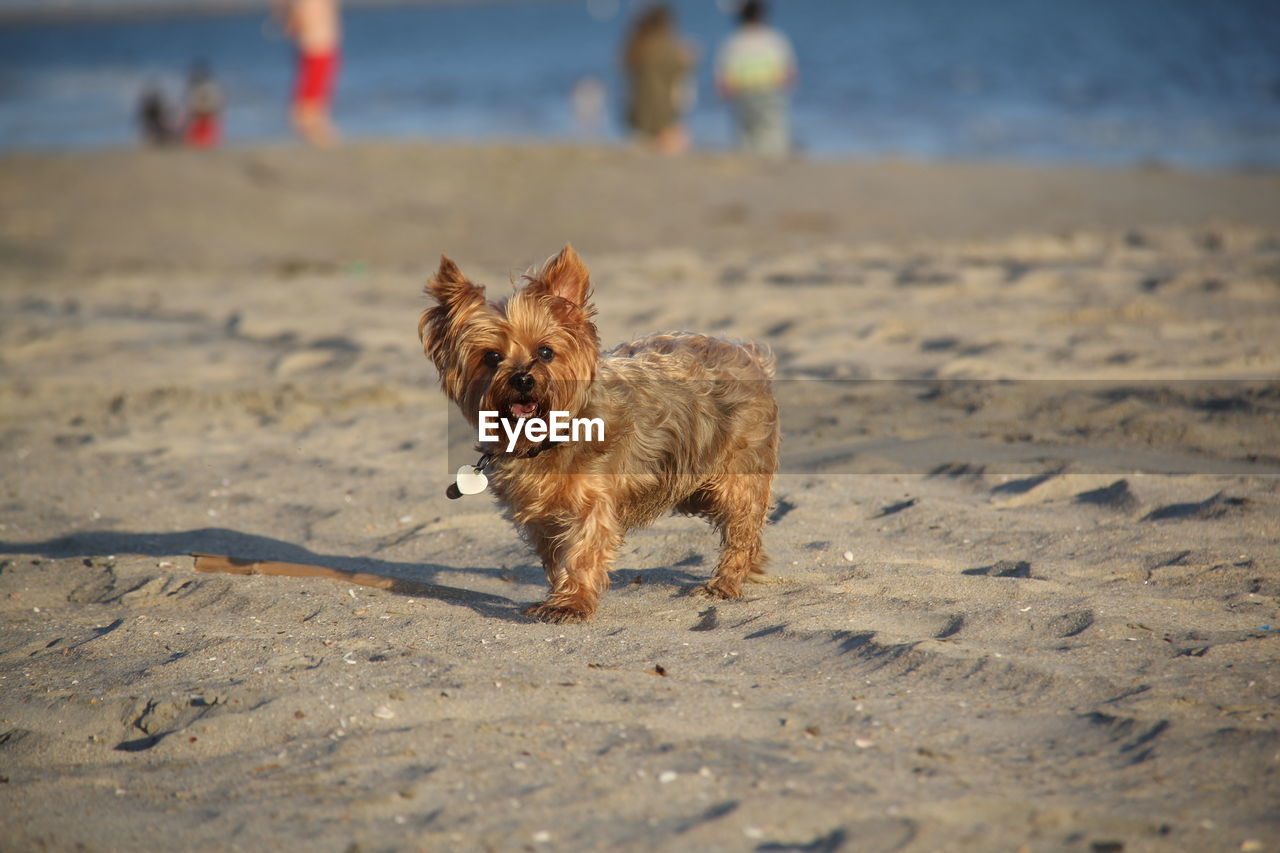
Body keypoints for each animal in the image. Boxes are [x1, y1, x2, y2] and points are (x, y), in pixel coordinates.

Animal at [419, 242, 778, 622]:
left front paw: (569, 604)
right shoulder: (542, 518)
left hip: (734, 474)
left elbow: (583, 550)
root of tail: (747, 353)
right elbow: (555, 555)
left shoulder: (591, 504)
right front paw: (560, 594)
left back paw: (723, 584)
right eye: (491, 357)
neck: (546, 438)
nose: (522, 379)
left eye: (545, 352)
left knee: (742, 526)